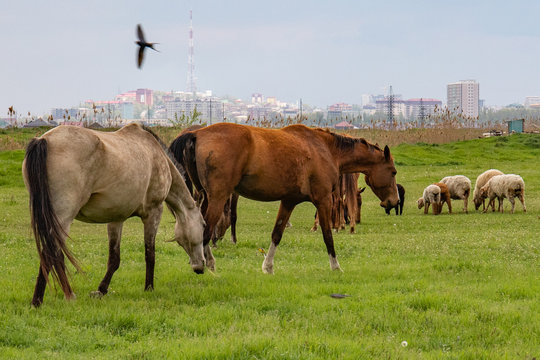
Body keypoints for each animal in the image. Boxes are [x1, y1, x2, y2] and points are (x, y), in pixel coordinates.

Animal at [23, 124, 206, 306]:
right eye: (204, 225)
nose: (201, 266)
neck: (157, 155)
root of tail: (44, 140)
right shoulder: (153, 213)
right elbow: (150, 254)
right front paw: (149, 288)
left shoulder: (116, 218)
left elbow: (114, 259)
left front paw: (101, 290)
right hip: (63, 218)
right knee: (51, 251)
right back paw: (54, 298)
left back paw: (46, 298)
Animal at [170, 123, 400, 272]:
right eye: (393, 171)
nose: (394, 201)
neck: (325, 149)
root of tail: (196, 133)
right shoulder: (323, 200)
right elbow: (327, 234)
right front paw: (336, 266)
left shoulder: (289, 201)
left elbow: (277, 234)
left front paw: (268, 267)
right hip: (217, 198)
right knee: (206, 231)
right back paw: (205, 265)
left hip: (205, 198)